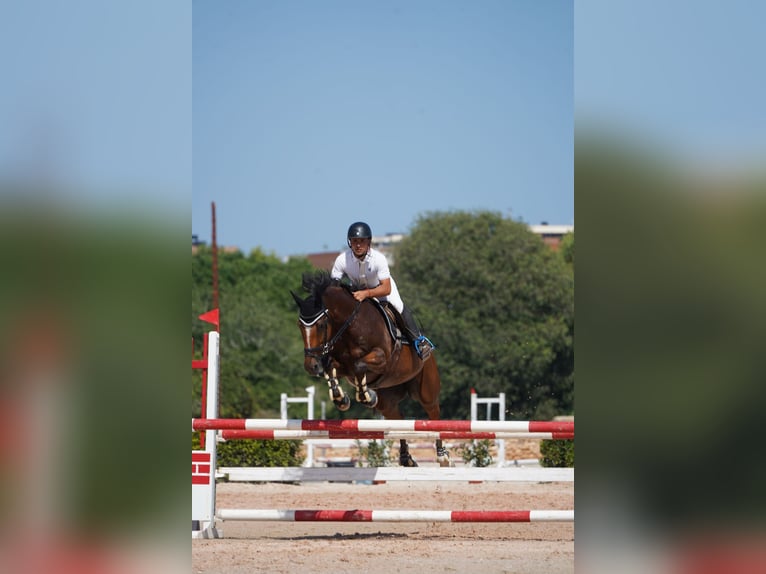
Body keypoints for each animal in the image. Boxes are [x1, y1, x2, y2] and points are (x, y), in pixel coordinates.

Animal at [292, 272, 450, 468]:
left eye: (321, 325)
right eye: (300, 326)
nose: (311, 366)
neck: (350, 326)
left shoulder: (381, 357)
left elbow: (359, 365)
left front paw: (367, 396)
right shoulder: (342, 365)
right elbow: (331, 367)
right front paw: (342, 399)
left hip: (426, 390)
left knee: (434, 414)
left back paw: (442, 455)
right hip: (388, 402)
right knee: (398, 420)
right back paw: (406, 458)